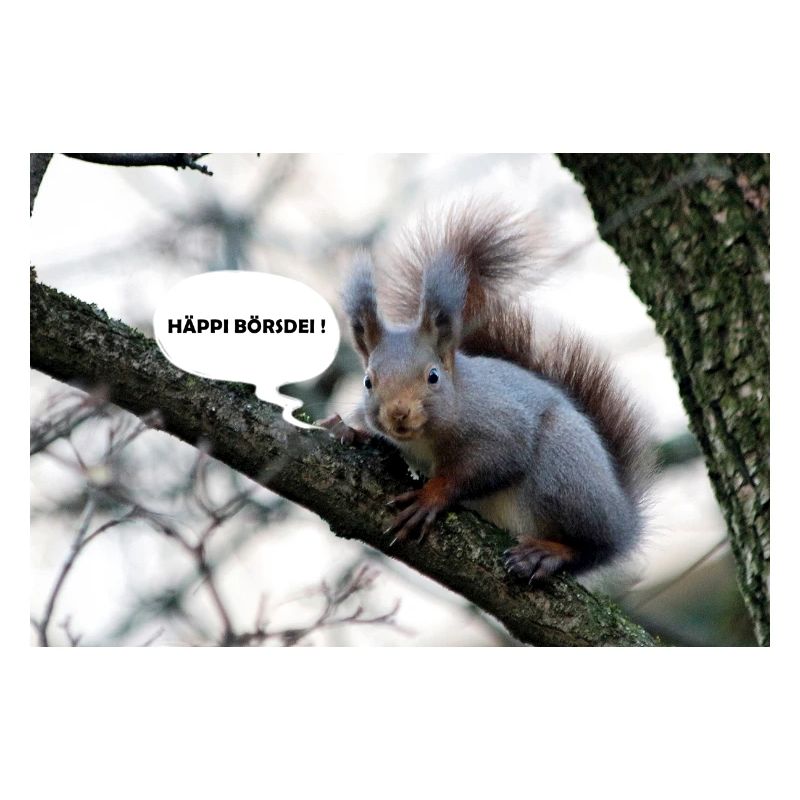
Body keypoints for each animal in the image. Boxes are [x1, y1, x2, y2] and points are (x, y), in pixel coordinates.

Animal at [320, 201, 653, 583]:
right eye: (368, 381)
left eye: (433, 376)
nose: (398, 412)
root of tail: (623, 516)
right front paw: (347, 429)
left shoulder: (498, 424)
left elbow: (491, 463)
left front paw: (431, 495)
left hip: (565, 471)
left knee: (592, 546)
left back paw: (547, 553)